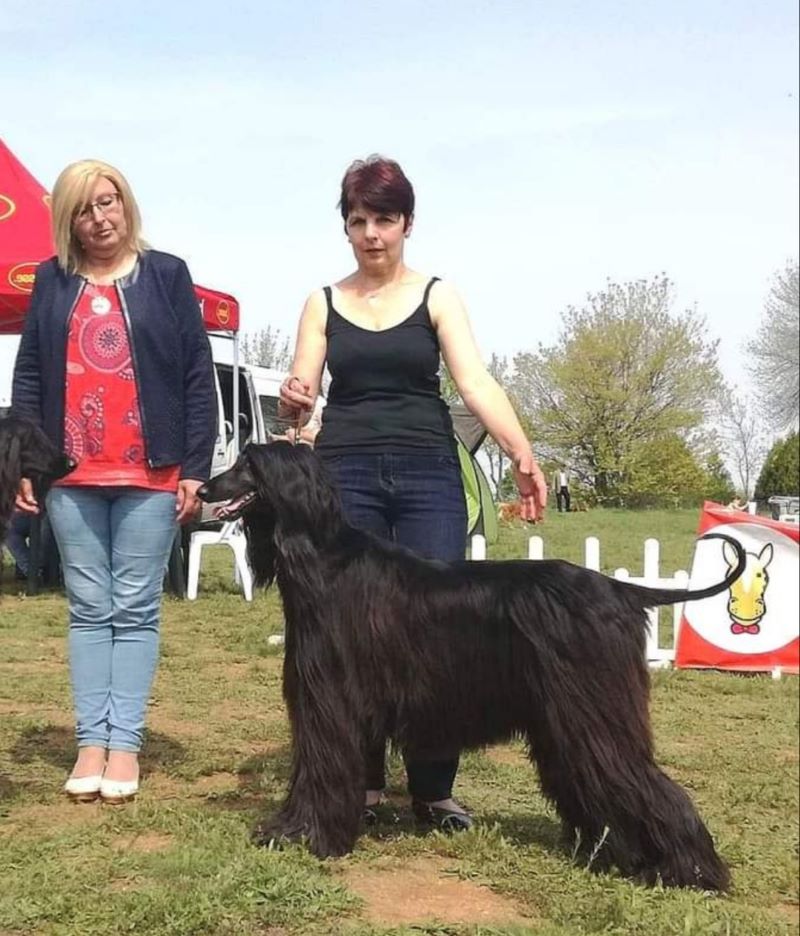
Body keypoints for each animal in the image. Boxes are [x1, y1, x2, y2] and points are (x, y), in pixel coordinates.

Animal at [198, 441, 745, 890]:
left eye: (248, 463)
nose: (202, 488)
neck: (324, 559)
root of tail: (621, 589)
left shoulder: (329, 700)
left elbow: (320, 768)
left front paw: (301, 835)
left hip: (593, 710)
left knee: (641, 780)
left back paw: (690, 871)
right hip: (563, 719)